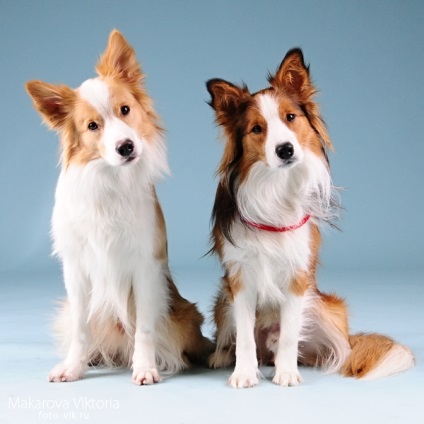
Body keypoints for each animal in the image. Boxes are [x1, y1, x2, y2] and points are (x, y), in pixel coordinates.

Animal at [26, 30, 212, 384]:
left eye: (125, 109)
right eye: (92, 126)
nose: (125, 146)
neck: (109, 181)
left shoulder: (146, 266)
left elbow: (145, 329)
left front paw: (145, 367)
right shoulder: (76, 270)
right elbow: (81, 329)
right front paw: (73, 367)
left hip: (182, 315)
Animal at [206, 47, 414, 388]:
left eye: (290, 117)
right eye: (257, 129)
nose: (285, 150)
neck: (274, 188)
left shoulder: (297, 277)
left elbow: (291, 333)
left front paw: (287, 373)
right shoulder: (240, 279)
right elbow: (245, 337)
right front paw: (244, 373)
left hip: (328, 308)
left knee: (336, 346)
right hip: (223, 298)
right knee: (235, 337)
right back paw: (223, 356)